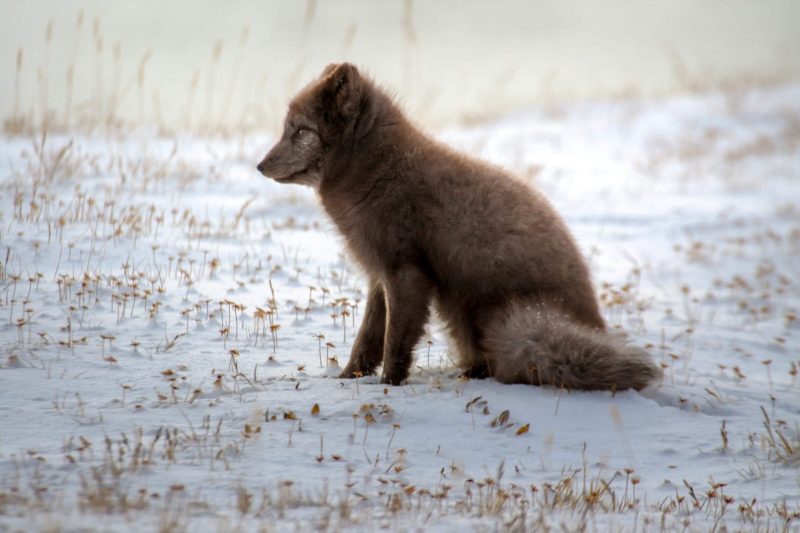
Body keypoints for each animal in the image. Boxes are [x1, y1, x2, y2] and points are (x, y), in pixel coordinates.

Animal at [258, 63, 664, 390]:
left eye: (300, 131)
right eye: (287, 129)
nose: (260, 166)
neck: (377, 170)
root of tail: (594, 324)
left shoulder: (406, 273)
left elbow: (395, 342)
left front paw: (389, 385)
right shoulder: (378, 276)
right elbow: (366, 339)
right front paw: (347, 379)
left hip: (496, 315)